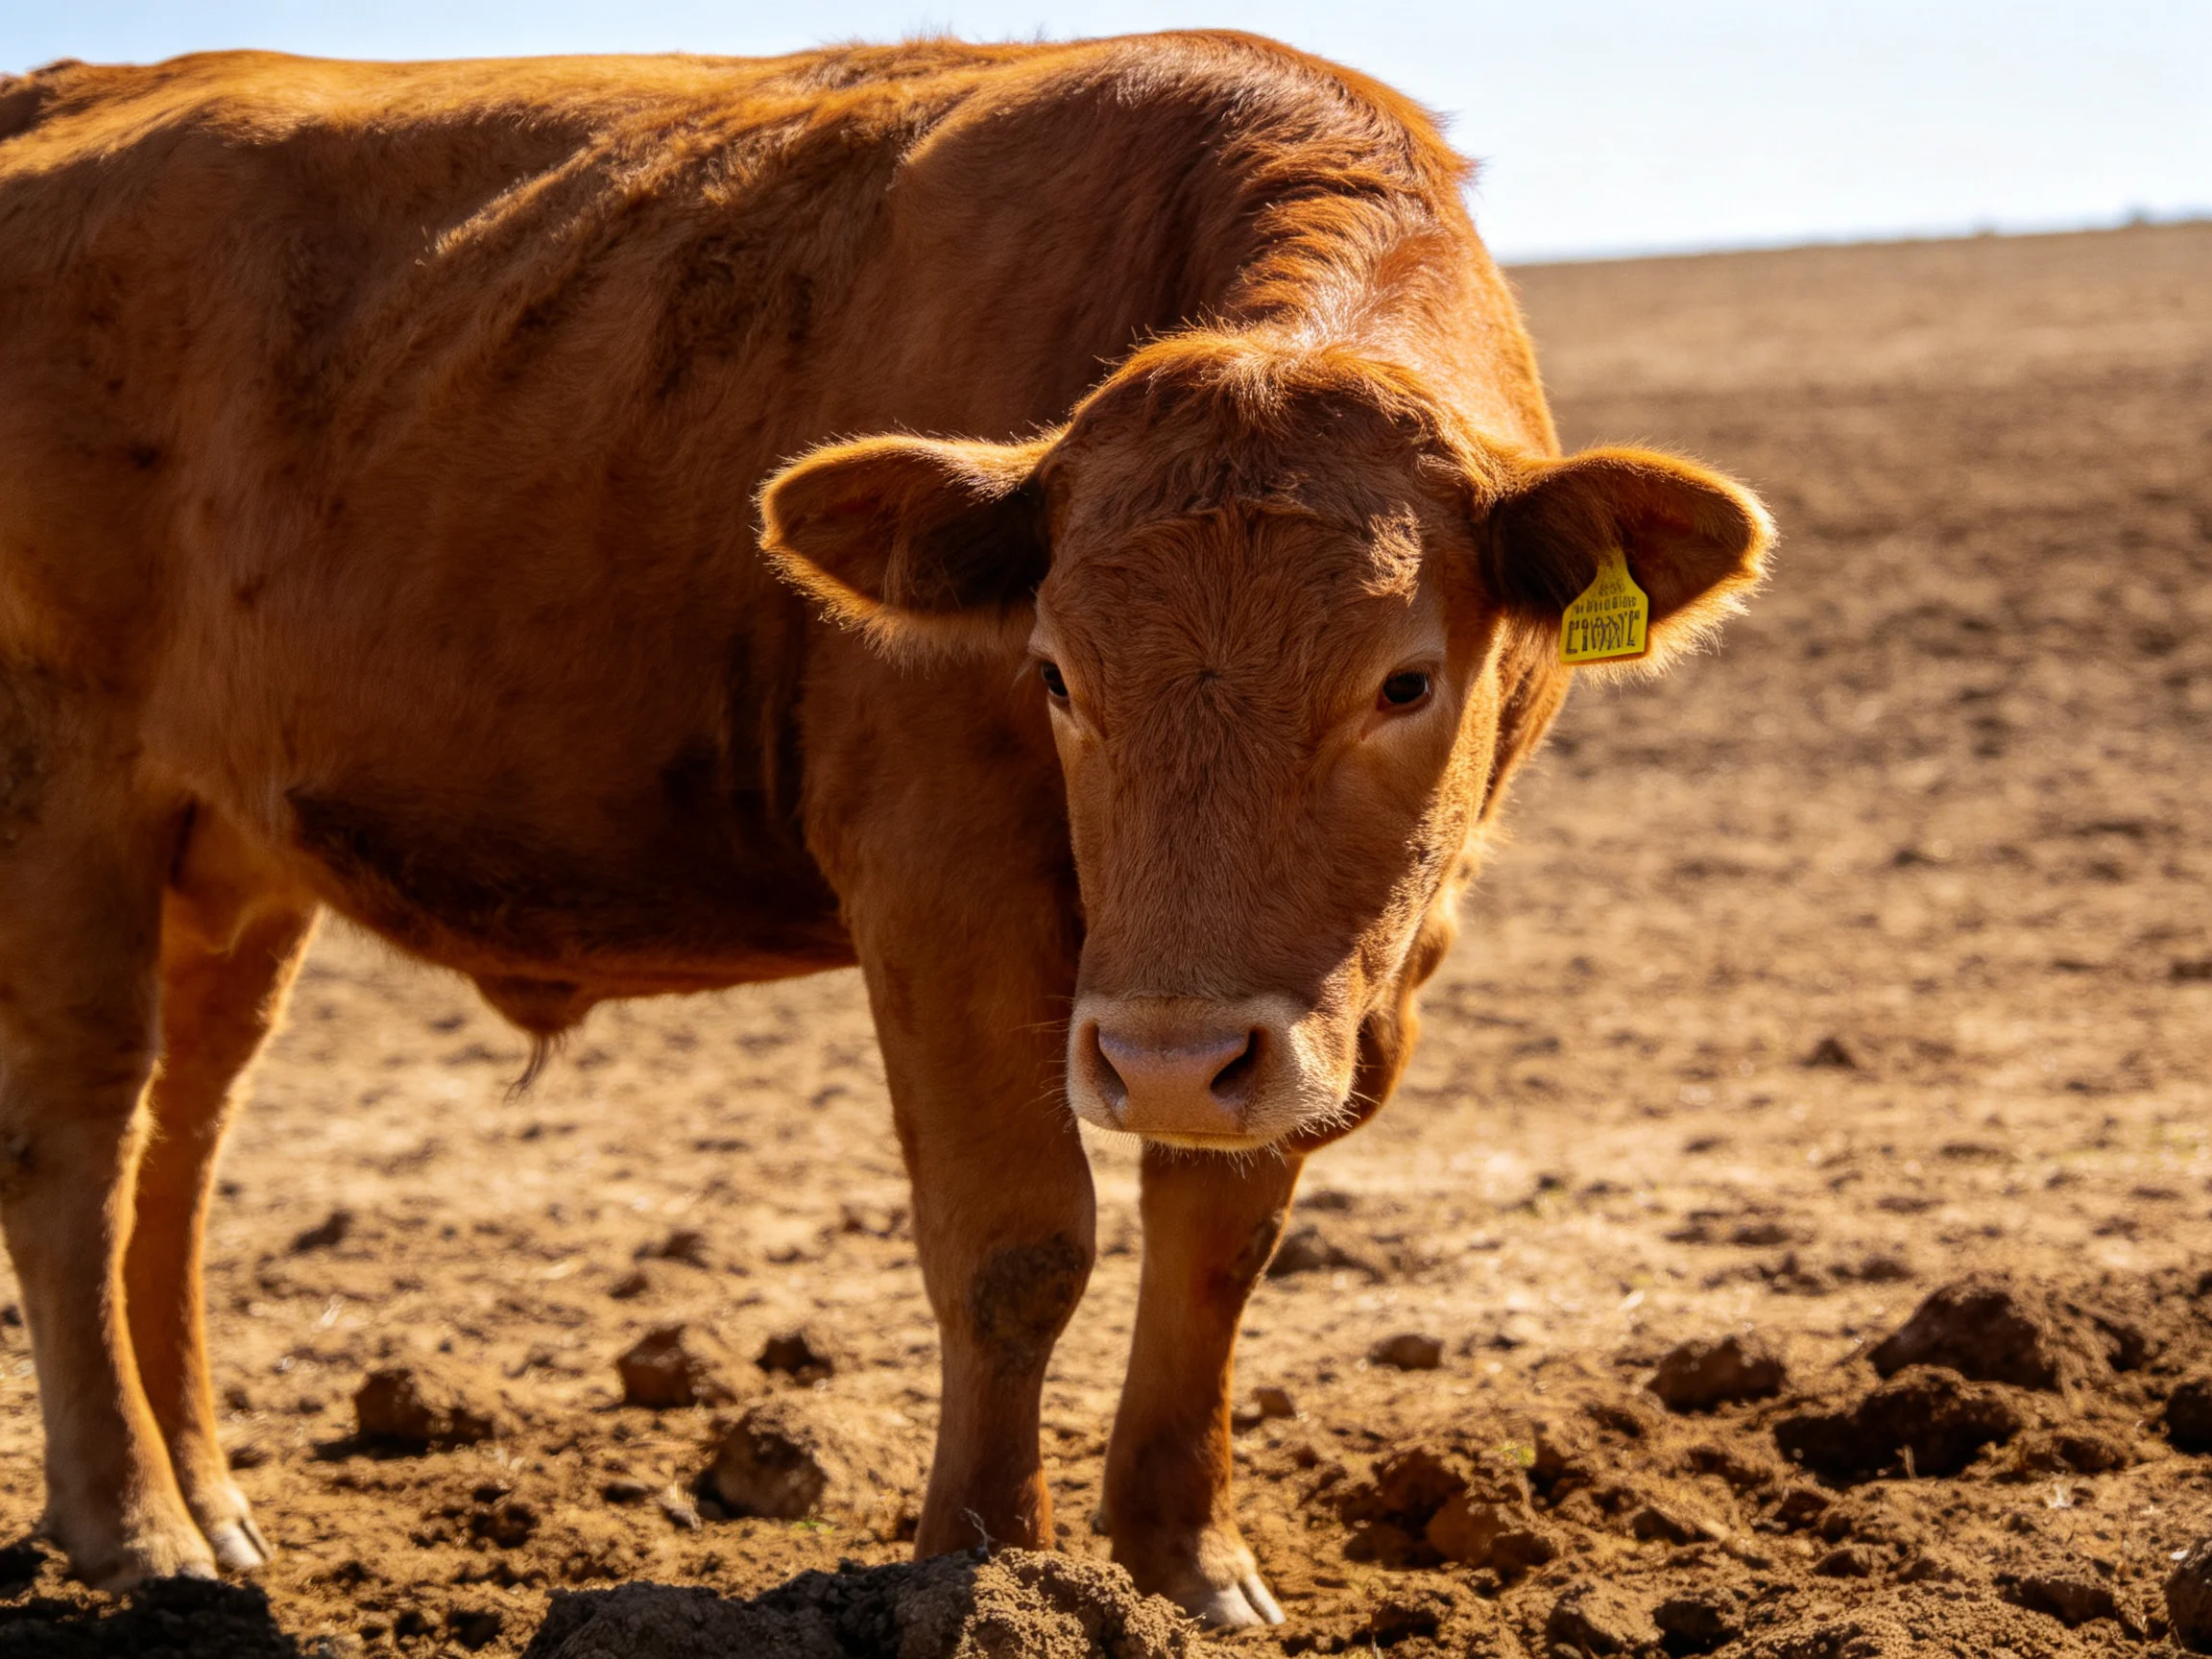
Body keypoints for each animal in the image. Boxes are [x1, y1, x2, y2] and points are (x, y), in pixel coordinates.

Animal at [0, 34, 1769, 1623]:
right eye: (1051, 673)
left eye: (1407, 679)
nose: (1166, 1057)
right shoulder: (942, 889)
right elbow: (1016, 1241)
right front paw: (984, 1569)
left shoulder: (1344, 976)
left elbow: (1221, 1228)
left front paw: (1182, 1563)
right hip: (63, 789)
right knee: (77, 1140)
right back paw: (135, 1525)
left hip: (224, 855)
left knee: (179, 1149)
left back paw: (211, 1499)